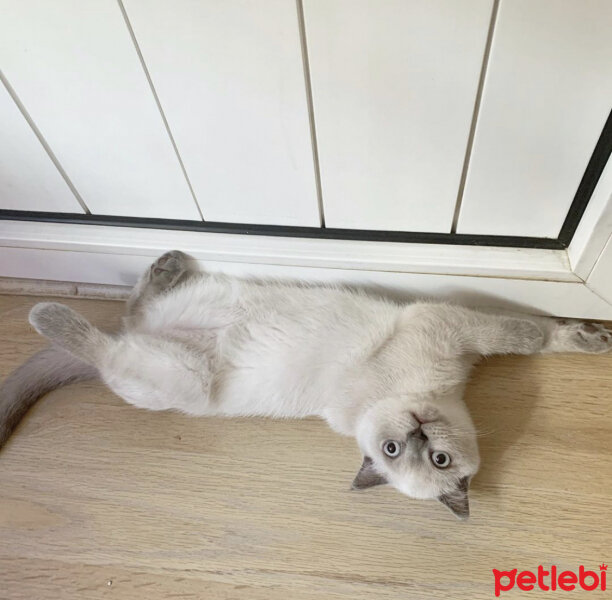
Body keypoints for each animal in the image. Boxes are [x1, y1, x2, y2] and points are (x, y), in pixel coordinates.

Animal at [1, 251, 612, 516]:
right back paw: (50, 311)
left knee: (127, 321)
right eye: (394, 451)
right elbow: (528, 332)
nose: (416, 435)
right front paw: (582, 335)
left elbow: (536, 335)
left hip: (179, 357)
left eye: (436, 461)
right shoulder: (447, 324)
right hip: (184, 370)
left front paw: (588, 336)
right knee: (109, 341)